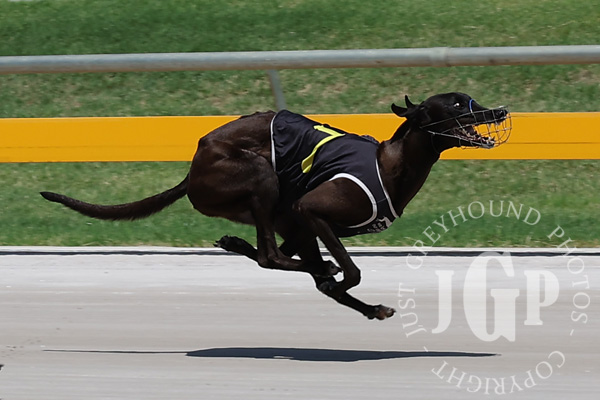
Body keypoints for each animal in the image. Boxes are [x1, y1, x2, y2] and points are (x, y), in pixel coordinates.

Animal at [41, 92, 511, 320]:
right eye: (456, 104)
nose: (500, 111)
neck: (389, 162)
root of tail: (193, 168)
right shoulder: (313, 212)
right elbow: (350, 270)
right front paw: (339, 279)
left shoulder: (303, 224)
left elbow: (327, 276)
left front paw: (360, 300)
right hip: (260, 176)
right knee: (272, 256)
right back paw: (321, 272)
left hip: (280, 214)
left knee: (275, 254)